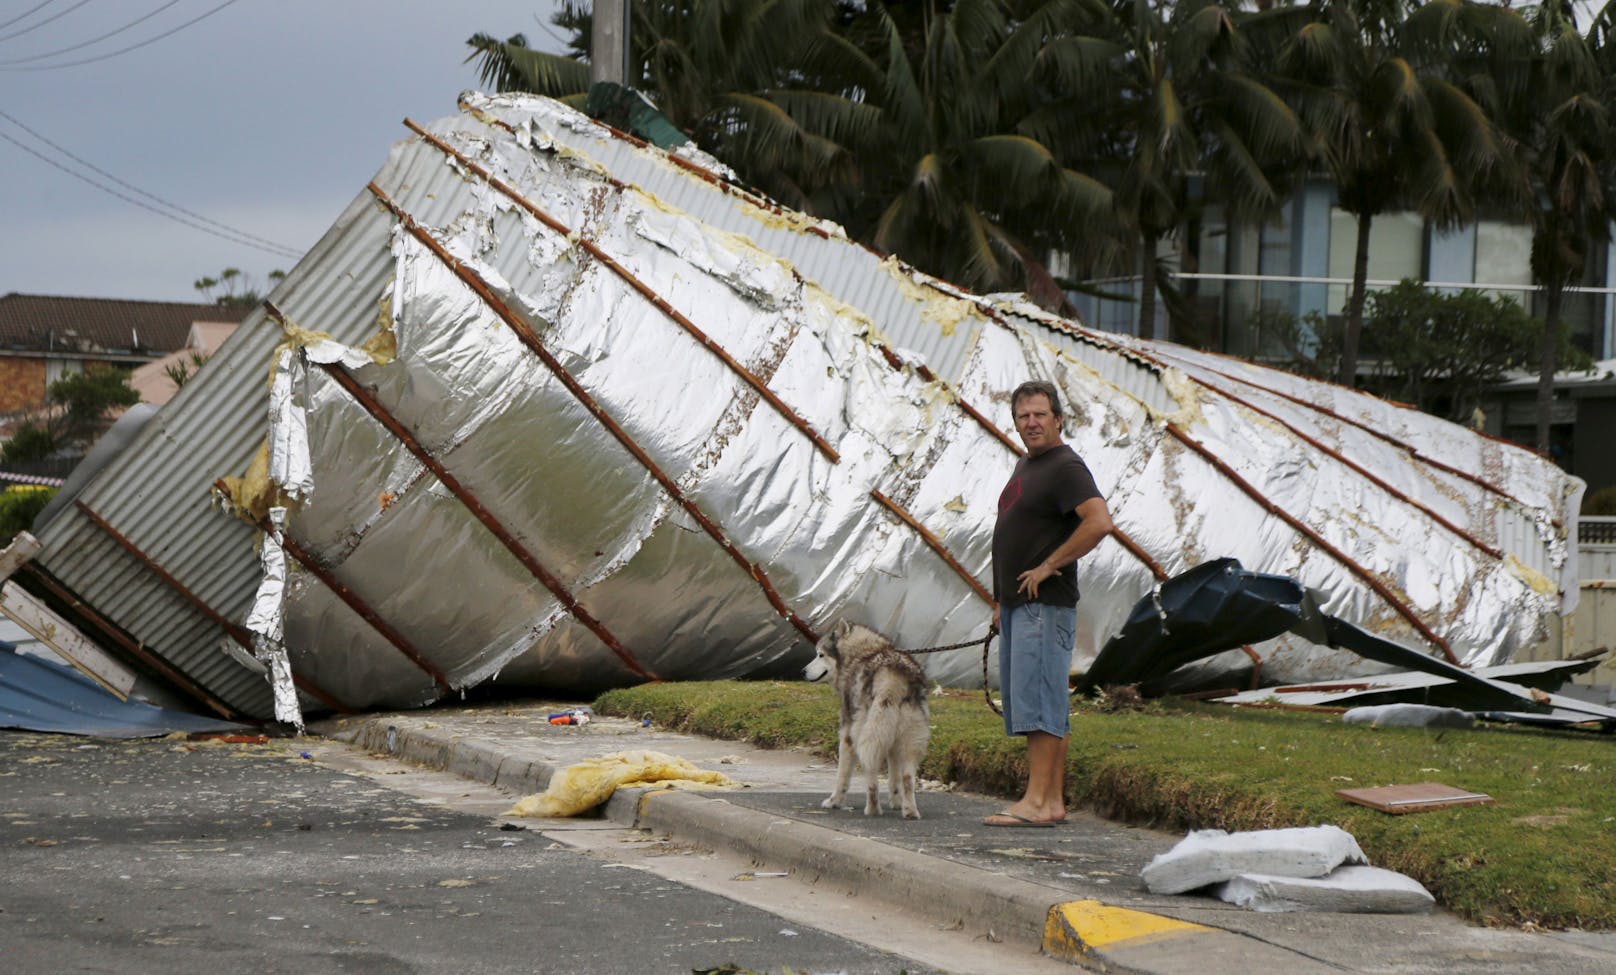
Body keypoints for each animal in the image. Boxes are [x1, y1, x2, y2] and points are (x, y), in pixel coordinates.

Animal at [801, 620, 930, 821]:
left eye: (820, 654)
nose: (802, 671)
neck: (863, 652)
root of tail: (893, 675)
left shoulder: (846, 736)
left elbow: (842, 776)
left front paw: (834, 802)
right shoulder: (892, 744)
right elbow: (894, 778)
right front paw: (896, 803)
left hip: (865, 736)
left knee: (871, 778)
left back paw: (873, 809)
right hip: (908, 741)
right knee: (908, 779)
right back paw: (910, 811)